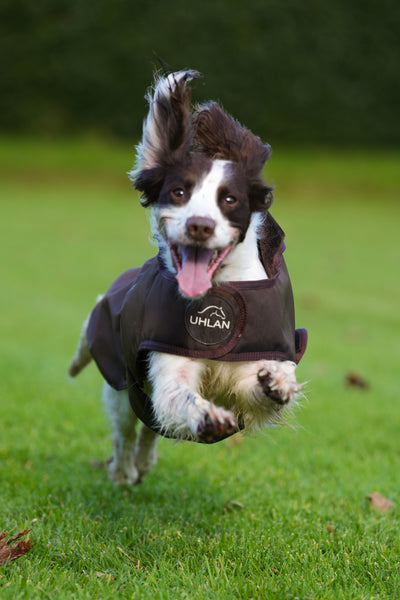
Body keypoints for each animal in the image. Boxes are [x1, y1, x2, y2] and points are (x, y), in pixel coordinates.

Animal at [69, 70, 308, 486]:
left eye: (229, 199)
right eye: (179, 192)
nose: (200, 225)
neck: (221, 291)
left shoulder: (247, 373)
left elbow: (261, 386)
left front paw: (278, 382)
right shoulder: (165, 367)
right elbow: (176, 396)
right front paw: (205, 416)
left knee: (151, 429)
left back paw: (143, 462)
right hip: (119, 385)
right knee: (128, 429)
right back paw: (124, 470)